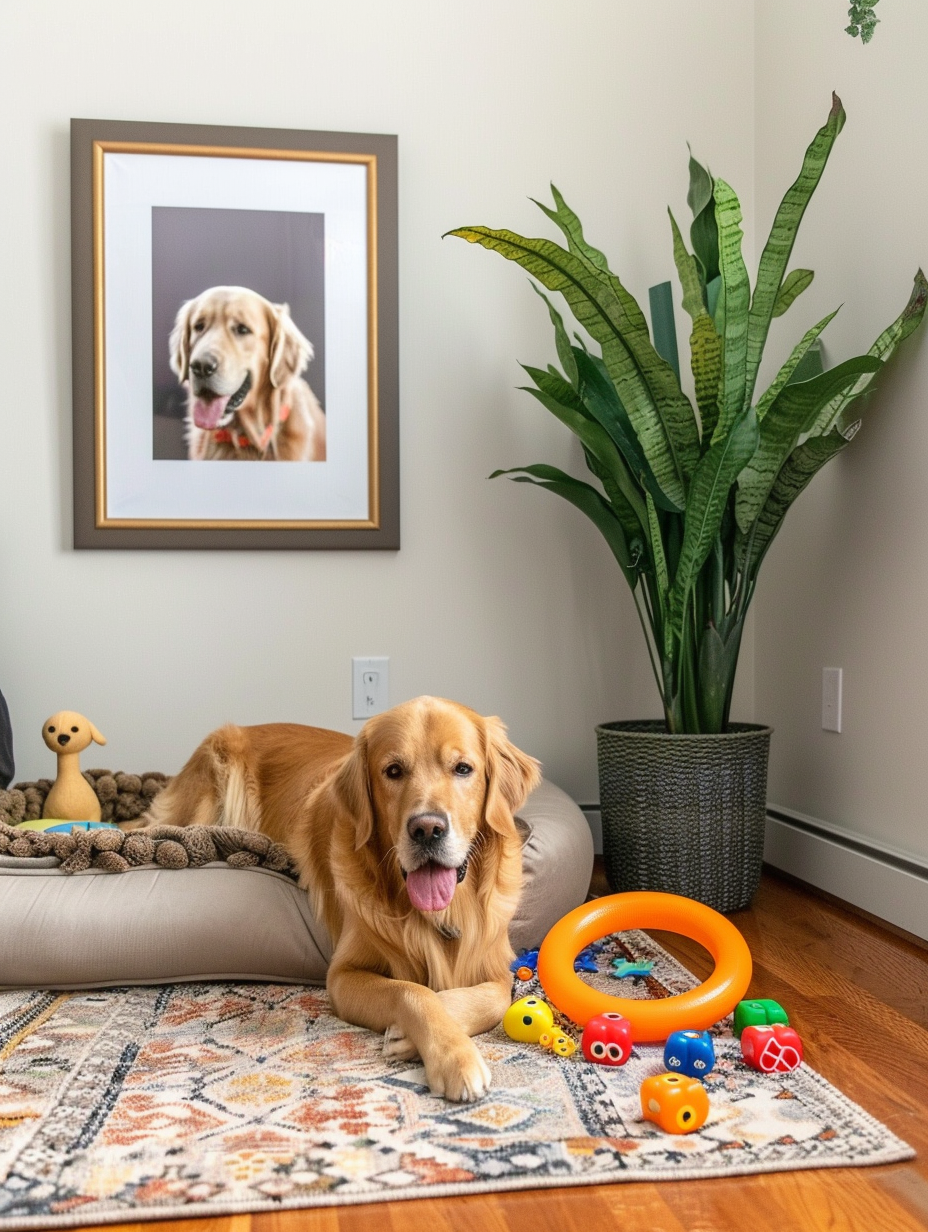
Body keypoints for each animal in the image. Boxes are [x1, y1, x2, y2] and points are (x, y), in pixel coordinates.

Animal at [141, 699, 539, 1103]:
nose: (427, 829)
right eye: (393, 771)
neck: (438, 913)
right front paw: (453, 1057)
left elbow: (497, 997)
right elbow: (413, 991)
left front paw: (410, 1037)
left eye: (462, 769)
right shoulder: (343, 976)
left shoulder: (496, 961)